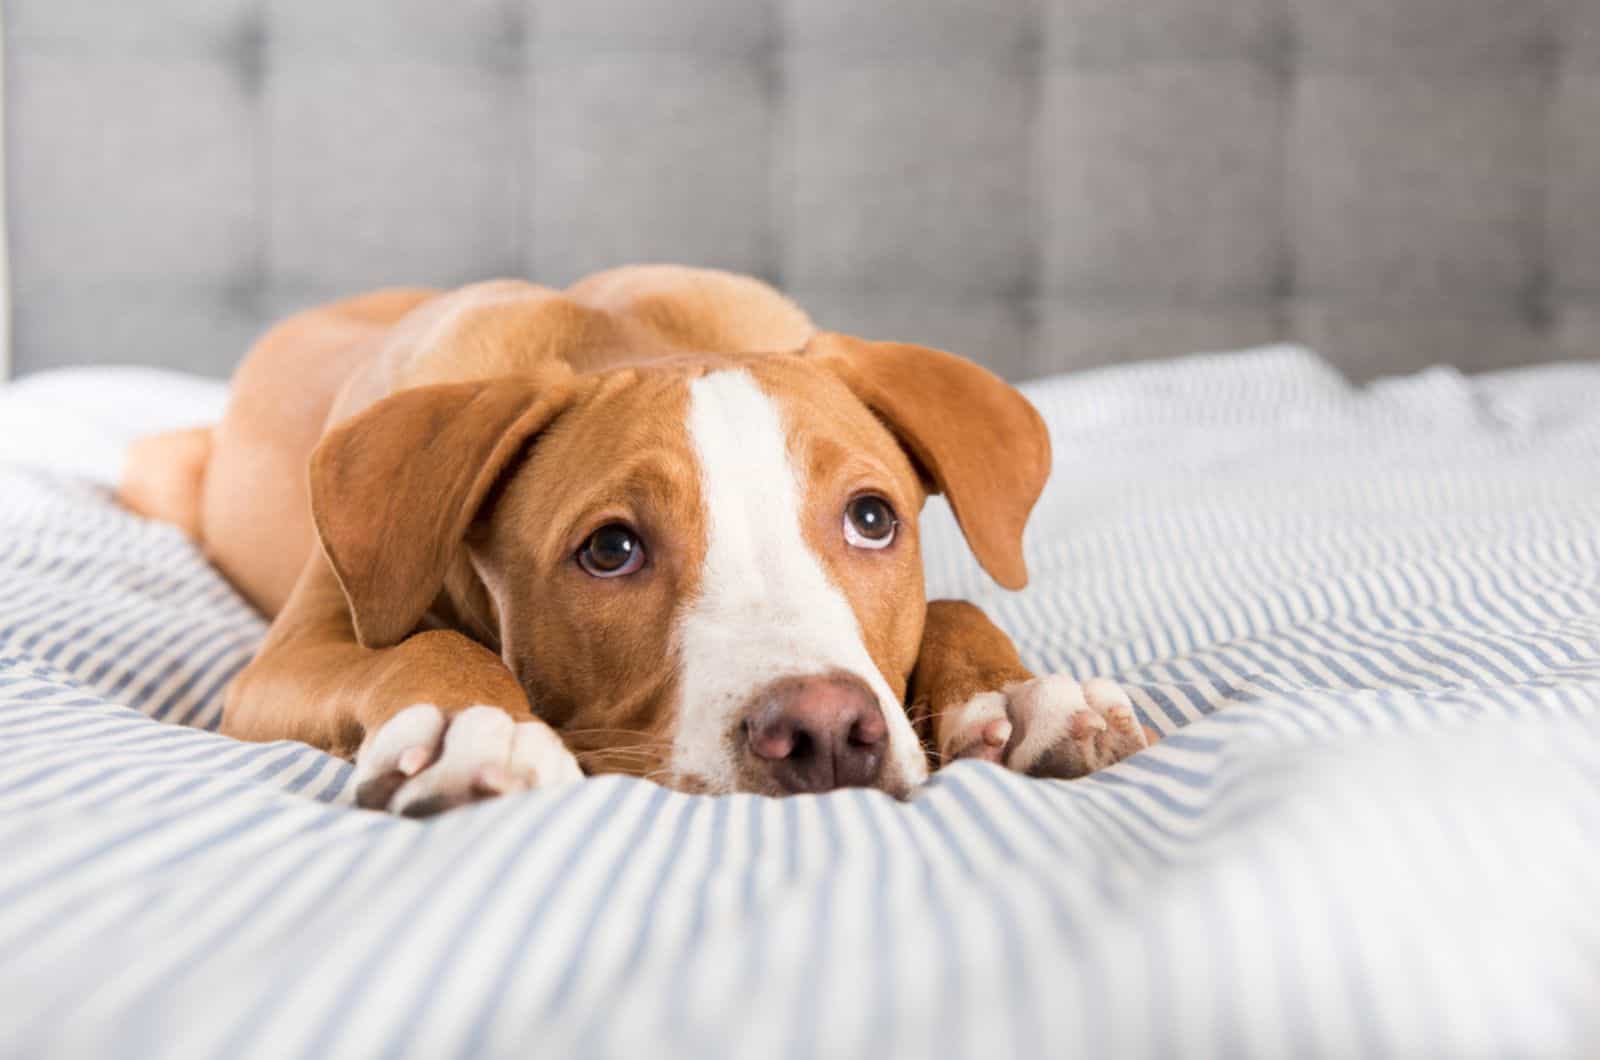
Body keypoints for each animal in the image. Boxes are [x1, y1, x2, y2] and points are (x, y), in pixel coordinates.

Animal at [124, 265, 1152, 813]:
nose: (824, 732)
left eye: (872, 519)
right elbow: (420, 644)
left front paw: (1018, 695)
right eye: (610, 550)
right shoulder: (287, 660)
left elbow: (953, 599)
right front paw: (473, 723)